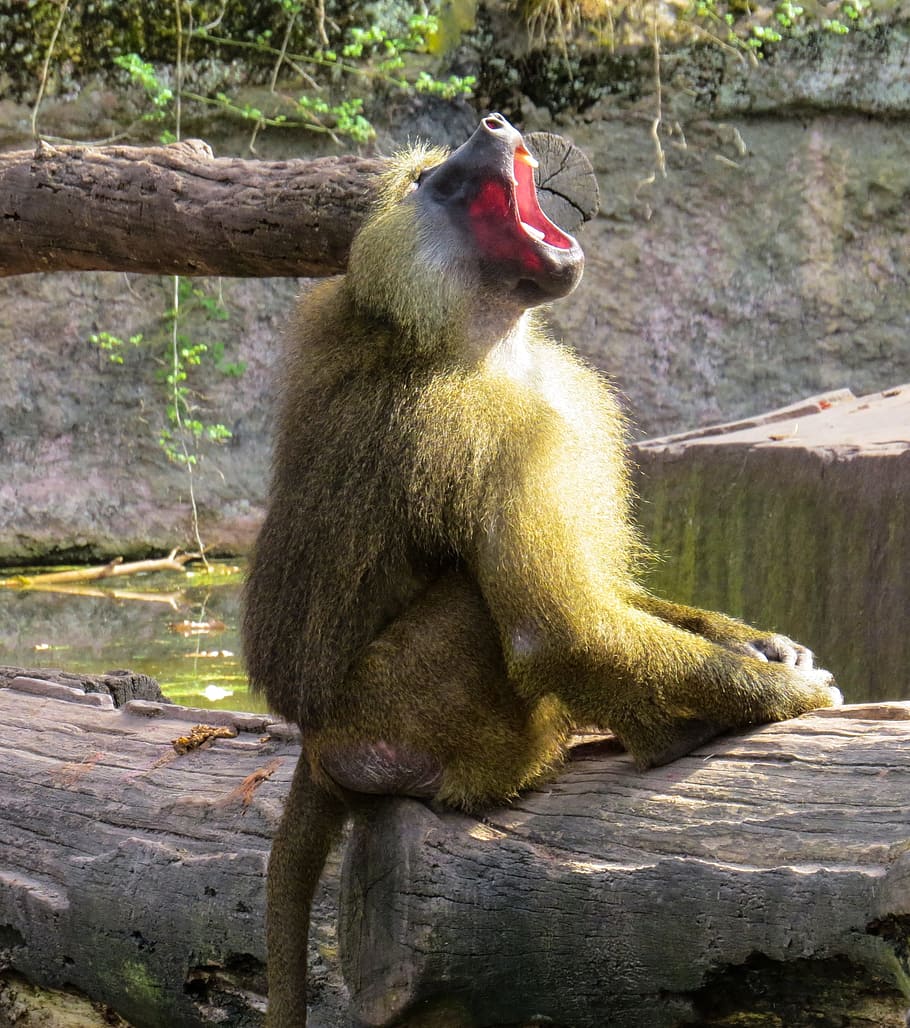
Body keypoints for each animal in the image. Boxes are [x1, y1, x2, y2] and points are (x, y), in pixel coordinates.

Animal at [241, 113, 841, 1026]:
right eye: (439, 183)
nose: (489, 124)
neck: (486, 338)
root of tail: (316, 741)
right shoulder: (490, 430)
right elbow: (557, 633)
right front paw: (787, 695)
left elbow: (605, 595)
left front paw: (760, 645)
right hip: (398, 715)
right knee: (482, 614)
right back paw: (668, 735)